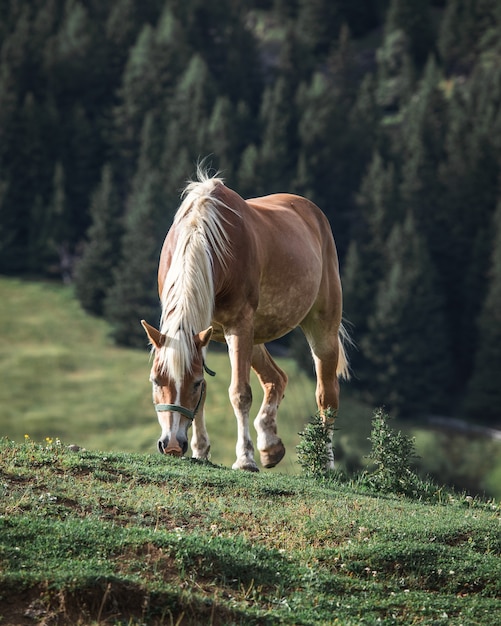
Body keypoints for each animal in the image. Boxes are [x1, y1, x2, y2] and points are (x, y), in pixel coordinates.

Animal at [143, 168, 350, 470]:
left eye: (193, 383)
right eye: (156, 381)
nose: (171, 444)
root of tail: (313, 213)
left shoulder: (239, 325)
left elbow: (239, 393)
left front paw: (245, 458)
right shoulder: (205, 333)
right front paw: (200, 450)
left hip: (320, 328)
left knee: (327, 396)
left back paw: (325, 461)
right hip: (253, 336)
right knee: (277, 378)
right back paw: (270, 444)